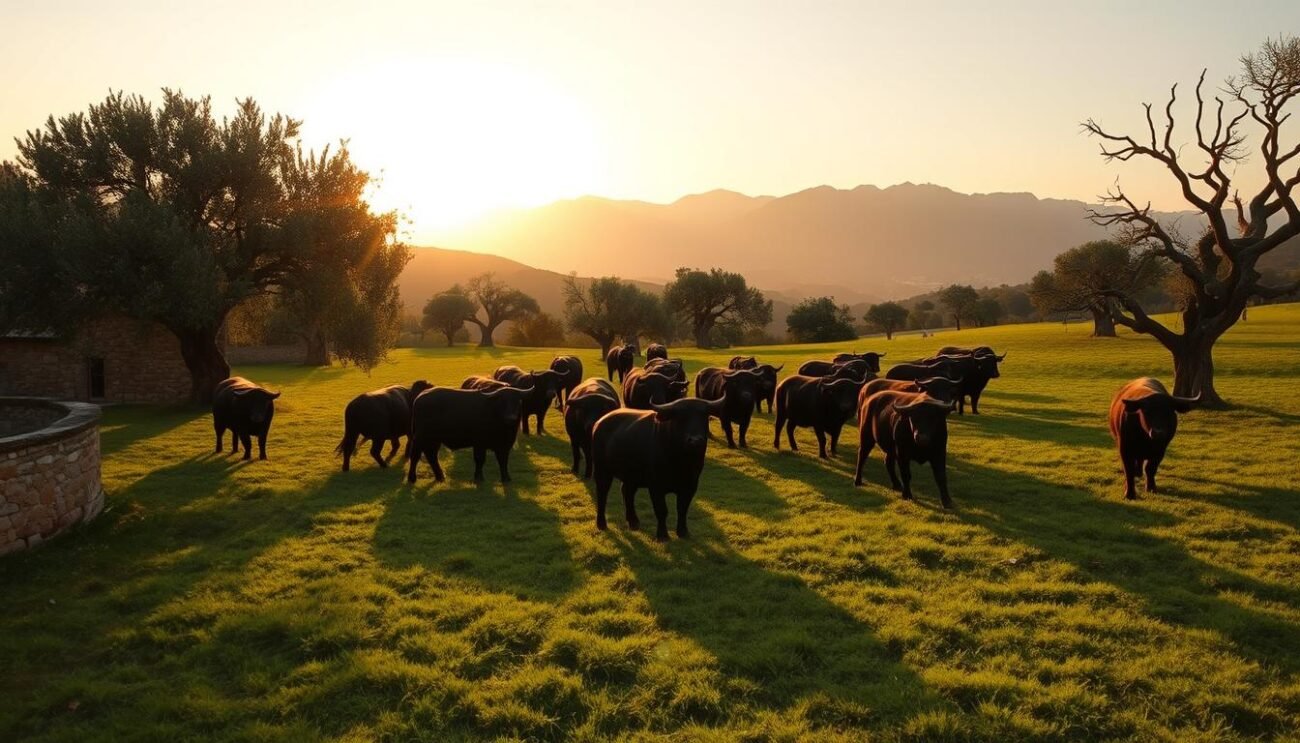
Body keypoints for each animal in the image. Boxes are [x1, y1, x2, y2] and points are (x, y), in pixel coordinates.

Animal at [593, 397, 723, 540]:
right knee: (602, 493)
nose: (695, 441)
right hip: (602, 470)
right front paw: (663, 535)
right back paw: (601, 524)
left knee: (627, 491)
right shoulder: (656, 487)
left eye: (703, 416)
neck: (681, 463)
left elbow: (682, 509)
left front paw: (683, 532)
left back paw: (633, 522)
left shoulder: (691, 485)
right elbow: (661, 510)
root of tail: (599, 422)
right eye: (681, 417)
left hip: (631, 475)